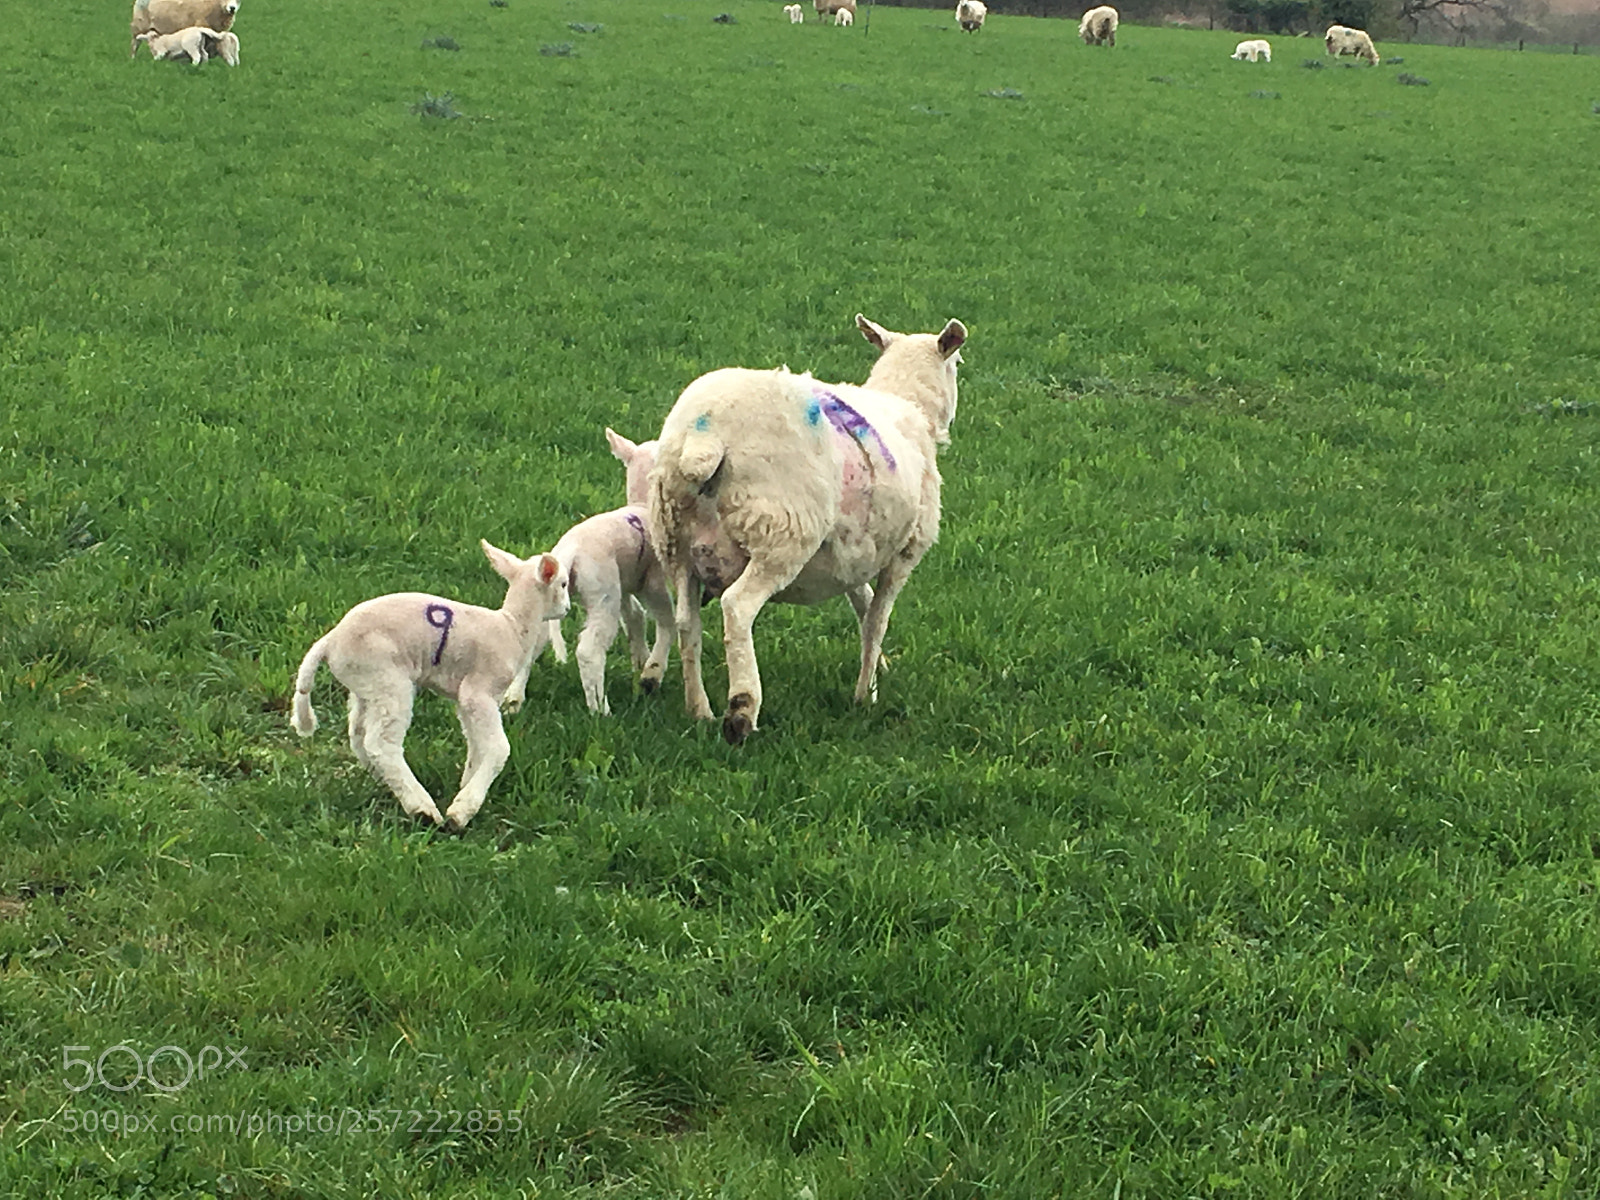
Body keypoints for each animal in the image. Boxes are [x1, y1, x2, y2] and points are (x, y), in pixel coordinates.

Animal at [291, 540, 570, 830]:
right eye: (563, 584)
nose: (568, 609)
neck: (512, 627)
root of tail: (330, 640)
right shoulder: (480, 691)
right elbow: (498, 748)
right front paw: (462, 811)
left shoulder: (466, 699)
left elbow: (475, 746)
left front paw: (465, 785)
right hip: (388, 680)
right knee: (381, 744)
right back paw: (422, 809)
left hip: (365, 684)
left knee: (359, 736)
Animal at [647, 313, 968, 745]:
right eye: (957, 364)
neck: (908, 404)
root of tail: (704, 435)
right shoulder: (905, 553)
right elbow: (877, 619)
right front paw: (865, 695)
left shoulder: (853, 551)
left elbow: (863, 605)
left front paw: (877, 668)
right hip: (781, 531)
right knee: (737, 607)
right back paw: (741, 712)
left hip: (675, 544)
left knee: (686, 623)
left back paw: (700, 711)